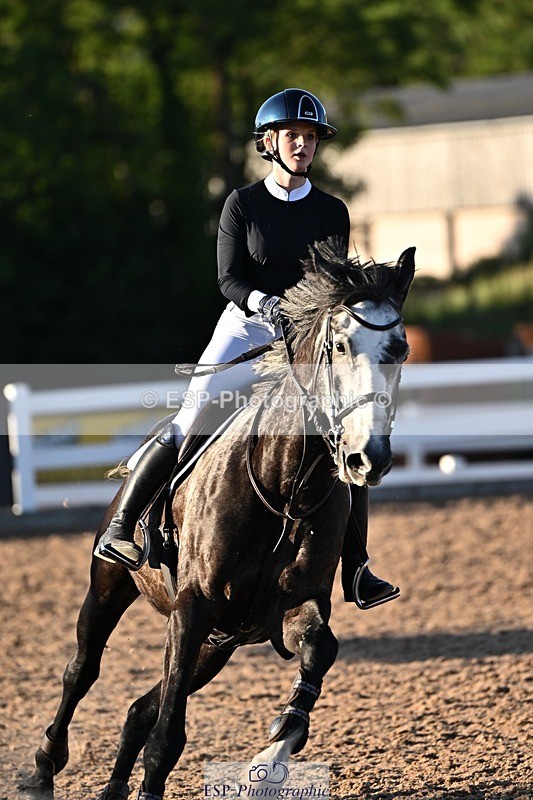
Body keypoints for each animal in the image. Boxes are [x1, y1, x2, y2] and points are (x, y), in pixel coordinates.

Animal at [20, 238, 415, 800]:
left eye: (400, 349)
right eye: (339, 346)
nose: (368, 460)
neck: (284, 487)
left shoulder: (291, 606)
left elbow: (321, 648)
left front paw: (273, 752)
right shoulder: (193, 606)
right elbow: (168, 734)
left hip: (218, 644)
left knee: (140, 707)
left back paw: (113, 787)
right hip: (112, 588)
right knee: (82, 671)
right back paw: (43, 768)